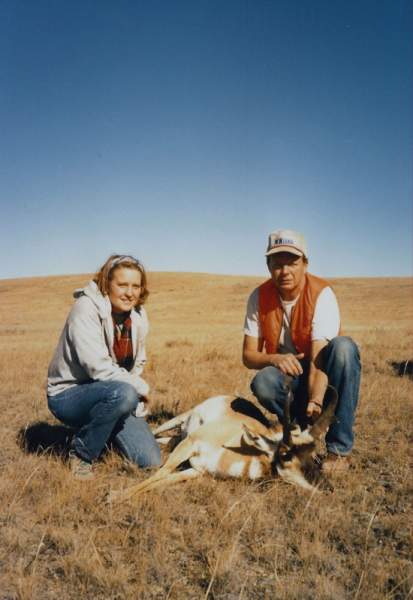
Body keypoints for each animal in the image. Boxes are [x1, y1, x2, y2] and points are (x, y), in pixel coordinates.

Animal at [111, 380, 336, 502]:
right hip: (178, 422)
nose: (328, 489)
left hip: (177, 437)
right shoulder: (190, 444)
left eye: (314, 455)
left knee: (164, 440)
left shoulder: (196, 470)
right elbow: (161, 472)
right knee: (156, 433)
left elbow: (165, 479)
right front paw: (114, 496)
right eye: (286, 454)